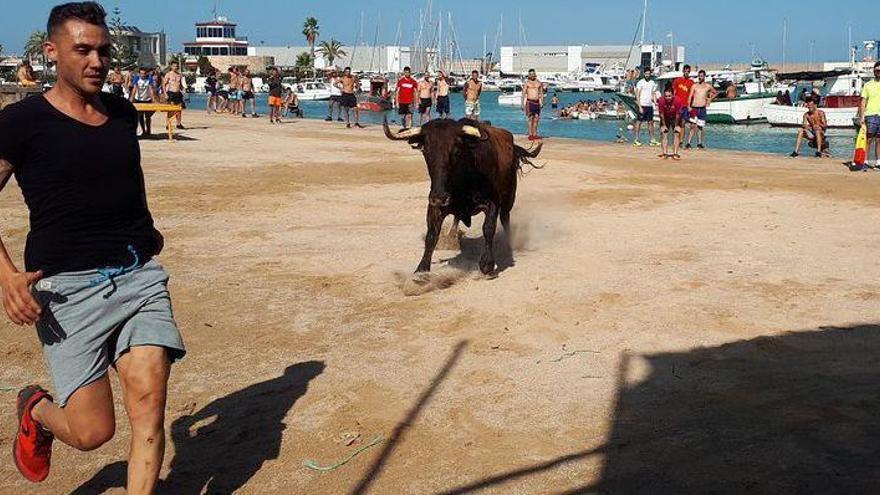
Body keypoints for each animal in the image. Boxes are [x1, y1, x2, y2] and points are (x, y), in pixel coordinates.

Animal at [384, 118, 544, 278]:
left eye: (456, 150)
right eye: (426, 150)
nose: (440, 197)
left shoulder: (493, 202)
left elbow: (488, 228)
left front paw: (487, 263)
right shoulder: (435, 205)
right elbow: (432, 235)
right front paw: (421, 269)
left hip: (509, 197)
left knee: (505, 218)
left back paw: (508, 243)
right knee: (457, 220)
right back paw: (451, 235)